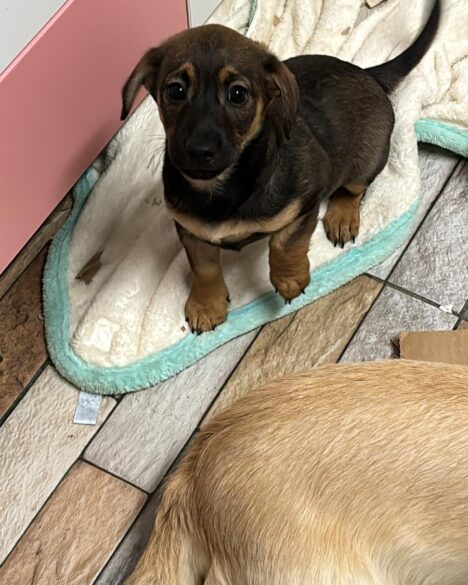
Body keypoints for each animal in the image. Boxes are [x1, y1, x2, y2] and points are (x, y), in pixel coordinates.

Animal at [121, 2, 440, 333]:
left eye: (237, 95)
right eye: (175, 91)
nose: (199, 151)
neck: (222, 188)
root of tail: (366, 73)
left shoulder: (303, 206)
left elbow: (284, 245)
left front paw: (289, 279)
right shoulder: (191, 230)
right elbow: (203, 268)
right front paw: (206, 305)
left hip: (368, 157)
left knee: (354, 188)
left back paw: (342, 217)